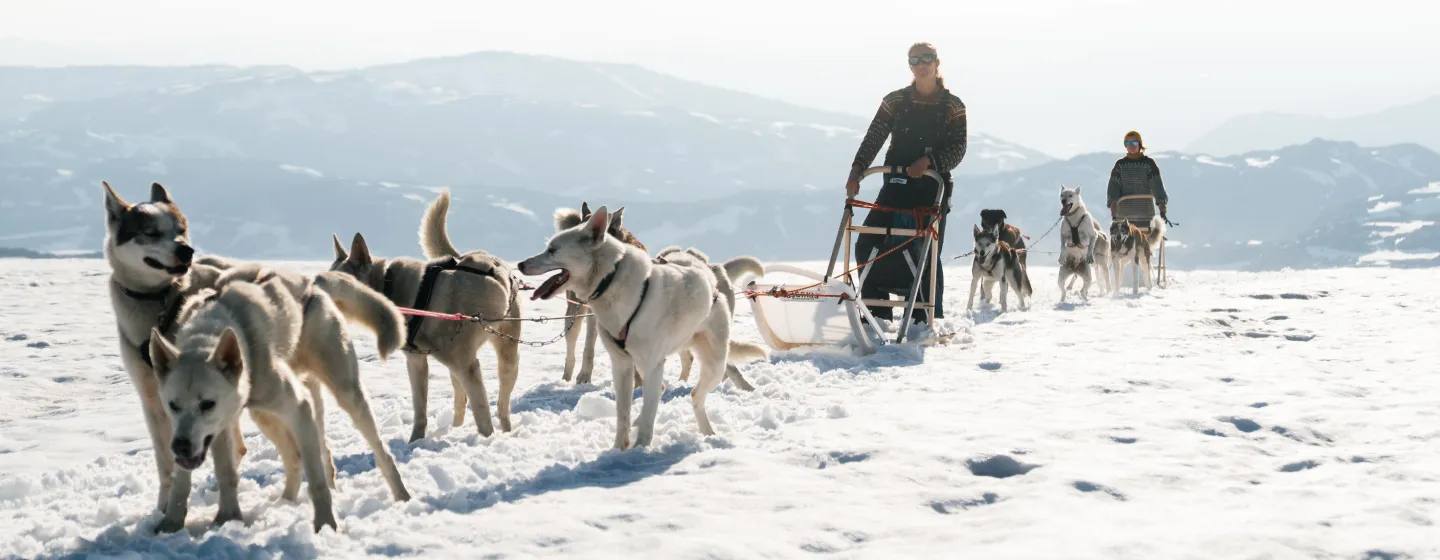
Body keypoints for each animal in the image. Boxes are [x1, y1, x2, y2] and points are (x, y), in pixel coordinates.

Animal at [331, 187, 524, 440]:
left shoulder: (467, 366)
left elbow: (483, 414)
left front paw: (487, 441)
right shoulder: (416, 362)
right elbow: (420, 409)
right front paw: (415, 441)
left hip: (506, 357)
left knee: (502, 404)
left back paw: (505, 430)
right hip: (457, 367)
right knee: (461, 400)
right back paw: (455, 429)